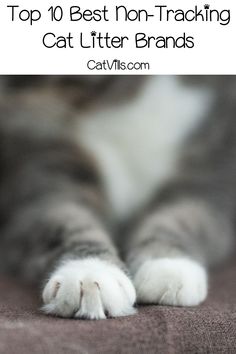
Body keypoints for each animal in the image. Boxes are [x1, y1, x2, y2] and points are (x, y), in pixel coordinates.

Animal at [0, 76, 235, 320]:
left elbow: (182, 217)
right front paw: (90, 272)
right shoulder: (45, 167)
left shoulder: (208, 177)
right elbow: (65, 217)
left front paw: (168, 264)